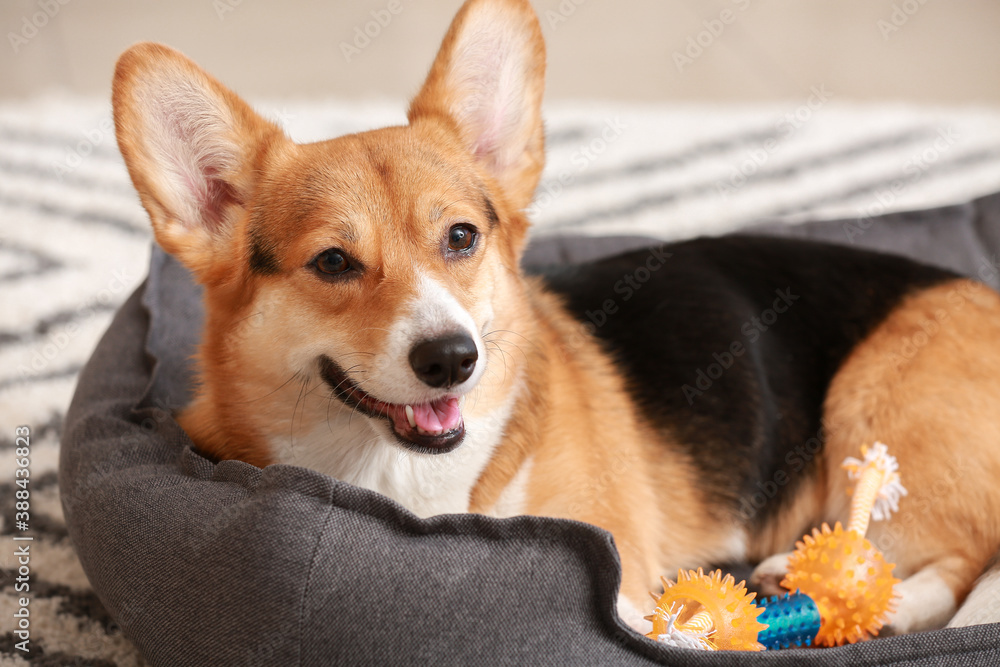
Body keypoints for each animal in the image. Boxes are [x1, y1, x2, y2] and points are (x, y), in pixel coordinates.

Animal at [113, 0, 1000, 640]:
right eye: (333, 262)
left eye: (460, 237)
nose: (451, 358)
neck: (402, 478)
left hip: (875, 413)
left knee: (957, 560)